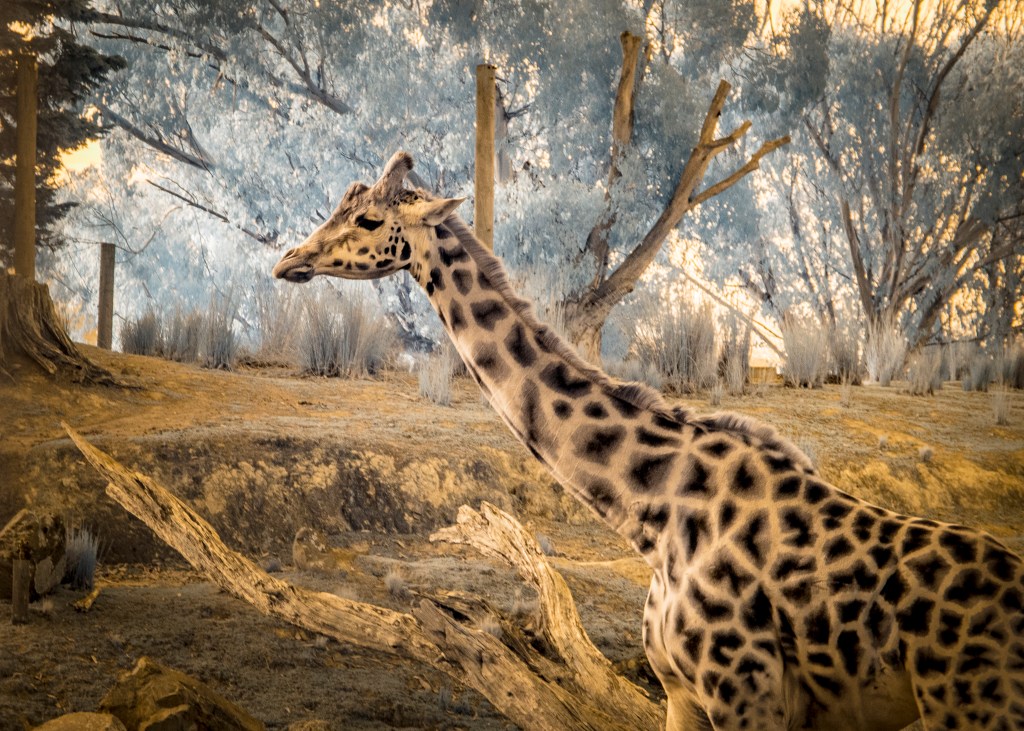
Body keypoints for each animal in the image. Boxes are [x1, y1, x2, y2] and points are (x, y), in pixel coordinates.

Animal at [273, 151, 1024, 731]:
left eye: (370, 220)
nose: (288, 261)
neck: (654, 514)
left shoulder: (748, 695)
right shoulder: (683, 696)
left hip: (973, 708)